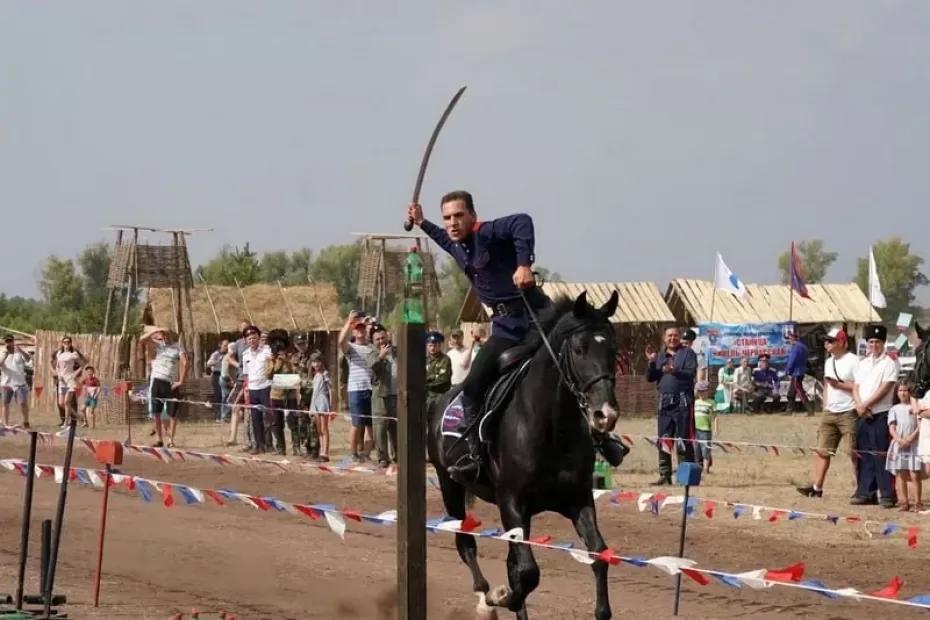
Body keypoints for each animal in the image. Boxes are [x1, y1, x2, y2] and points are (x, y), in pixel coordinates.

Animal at [428, 292, 624, 620]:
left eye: (613, 349)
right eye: (580, 348)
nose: (605, 415)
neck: (551, 428)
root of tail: (441, 401)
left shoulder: (578, 500)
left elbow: (598, 554)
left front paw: (602, 610)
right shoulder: (511, 502)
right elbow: (528, 572)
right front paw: (501, 597)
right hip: (450, 485)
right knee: (465, 542)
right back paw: (485, 598)